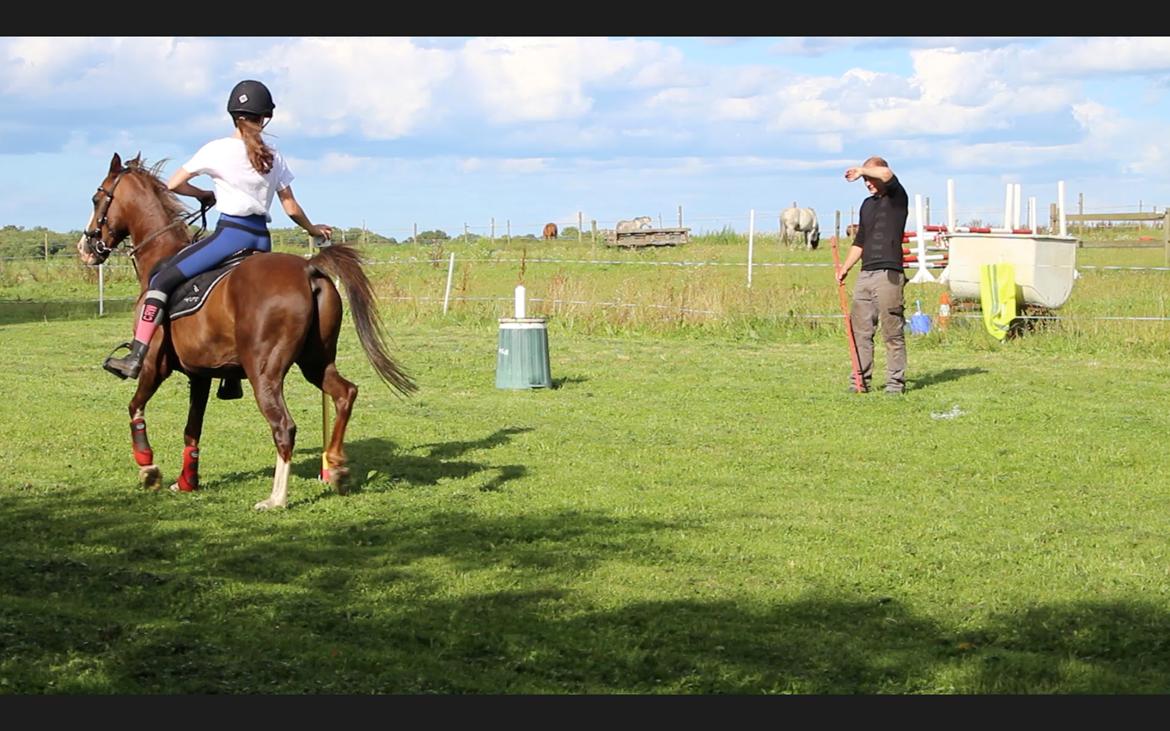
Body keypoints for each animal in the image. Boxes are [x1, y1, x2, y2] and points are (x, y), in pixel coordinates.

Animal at [76, 154, 416, 507]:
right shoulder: (200, 375)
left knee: (284, 426)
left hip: (263, 372)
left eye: (97, 198)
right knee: (345, 393)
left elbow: (135, 408)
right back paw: (335, 467)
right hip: (316, 362)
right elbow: (192, 429)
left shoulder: (156, 366)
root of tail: (308, 268)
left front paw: (148, 467)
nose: (85, 247)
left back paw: (277, 499)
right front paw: (186, 481)